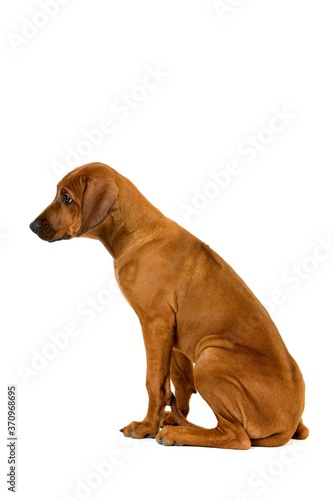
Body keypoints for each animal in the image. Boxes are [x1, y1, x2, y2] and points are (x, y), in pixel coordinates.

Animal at [29, 163, 308, 450]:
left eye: (66, 198)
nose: (32, 226)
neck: (136, 233)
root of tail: (289, 425)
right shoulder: (173, 336)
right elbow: (179, 382)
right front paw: (171, 416)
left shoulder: (155, 323)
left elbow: (155, 382)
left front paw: (146, 427)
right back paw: (176, 424)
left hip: (210, 359)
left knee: (237, 436)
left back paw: (178, 434)